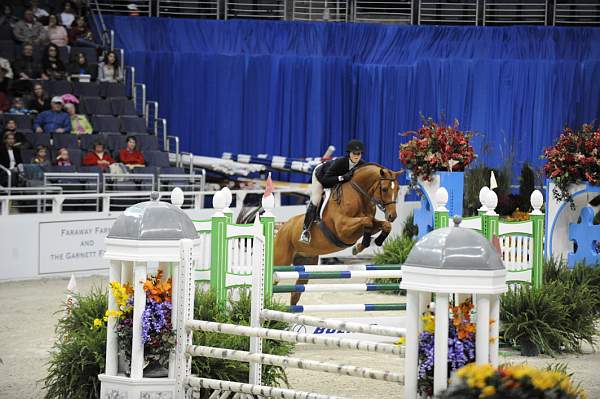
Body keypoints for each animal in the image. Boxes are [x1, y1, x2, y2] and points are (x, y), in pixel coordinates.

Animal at [274, 164, 400, 304]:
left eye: (398, 189)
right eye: (384, 189)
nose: (392, 216)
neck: (359, 196)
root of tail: (283, 227)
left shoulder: (365, 226)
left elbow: (384, 225)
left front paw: (367, 244)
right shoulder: (342, 229)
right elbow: (366, 221)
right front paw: (361, 246)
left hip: (306, 263)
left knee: (296, 293)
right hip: (281, 261)